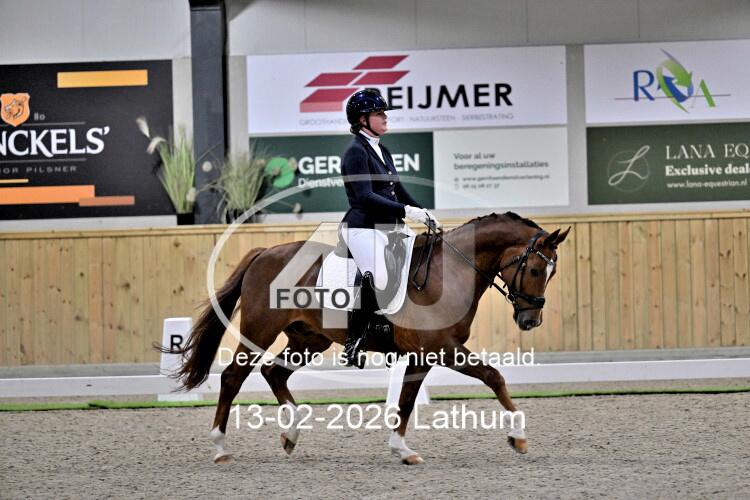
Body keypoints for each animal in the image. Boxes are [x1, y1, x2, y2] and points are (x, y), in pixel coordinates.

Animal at [168, 211, 570, 465]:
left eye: (553, 273)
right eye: (536, 269)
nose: (530, 320)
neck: (452, 270)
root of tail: (265, 252)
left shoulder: (423, 355)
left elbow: (406, 401)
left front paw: (401, 450)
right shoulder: (443, 348)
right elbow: (494, 376)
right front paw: (518, 437)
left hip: (309, 339)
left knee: (274, 373)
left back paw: (291, 436)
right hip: (259, 330)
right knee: (233, 377)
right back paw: (221, 448)